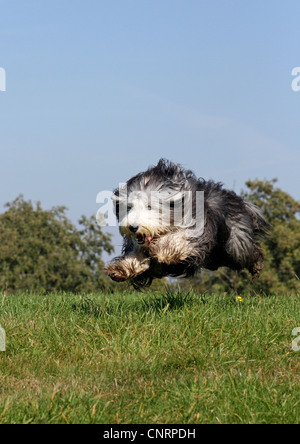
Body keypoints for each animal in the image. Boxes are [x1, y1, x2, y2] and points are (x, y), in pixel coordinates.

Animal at [104, 159, 268, 288]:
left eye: (149, 206)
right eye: (129, 207)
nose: (133, 227)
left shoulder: (198, 230)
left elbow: (179, 239)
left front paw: (163, 249)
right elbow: (136, 256)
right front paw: (120, 269)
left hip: (235, 244)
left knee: (249, 252)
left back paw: (256, 265)